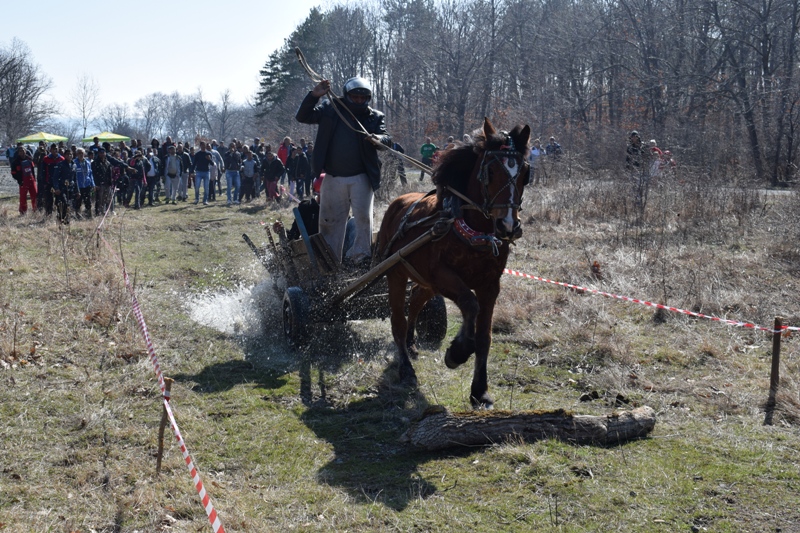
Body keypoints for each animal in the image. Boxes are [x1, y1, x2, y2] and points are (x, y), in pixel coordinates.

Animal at [376, 117, 532, 408]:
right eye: (490, 170)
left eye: (526, 173)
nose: (507, 225)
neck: (475, 231)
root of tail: (398, 202)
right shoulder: (442, 276)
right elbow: (469, 304)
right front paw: (457, 351)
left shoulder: (490, 285)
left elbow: (484, 336)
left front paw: (480, 390)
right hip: (396, 273)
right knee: (398, 320)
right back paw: (406, 367)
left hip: (424, 280)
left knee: (416, 298)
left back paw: (412, 342)